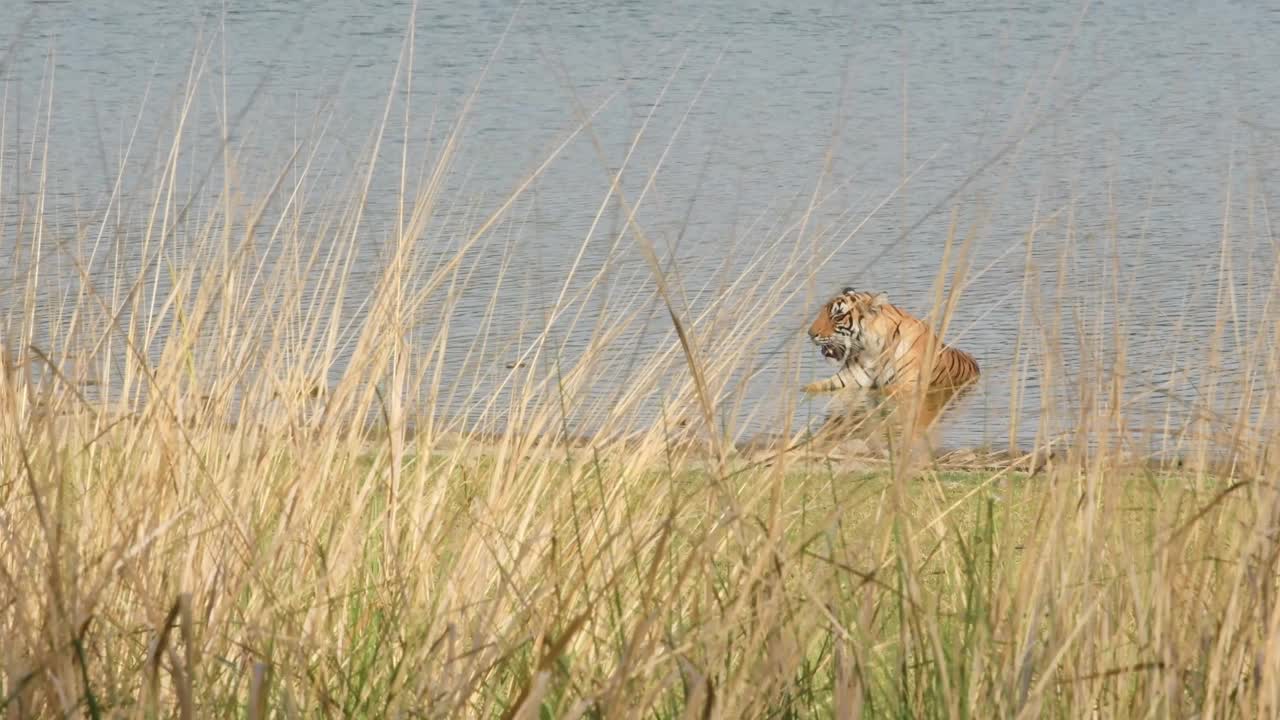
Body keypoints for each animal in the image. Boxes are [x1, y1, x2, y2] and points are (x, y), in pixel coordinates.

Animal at [803, 285, 972, 448]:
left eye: (837, 316)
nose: (810, 334)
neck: (871, 352)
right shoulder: (848, 380)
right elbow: (812, 387)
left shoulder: (907, 385)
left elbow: (879, 393)